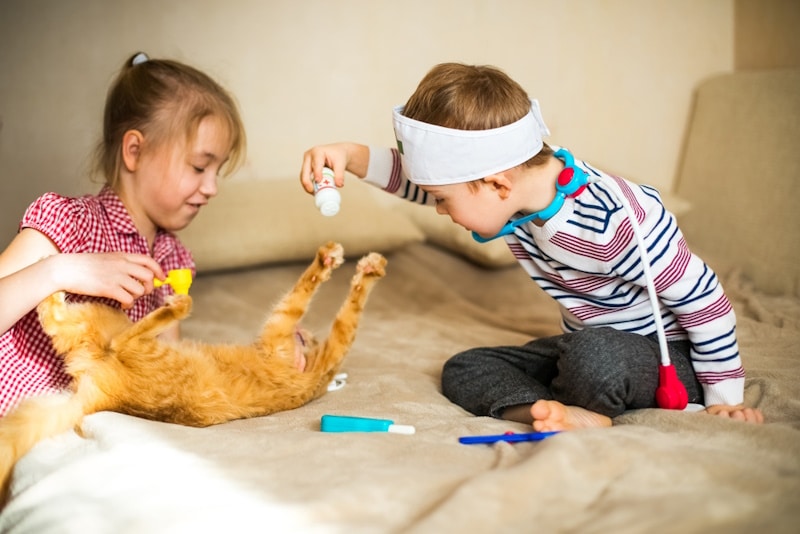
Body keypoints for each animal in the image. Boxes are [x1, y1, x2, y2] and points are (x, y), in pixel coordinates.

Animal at [0, 243, 388, 502]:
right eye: (306, 337)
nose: (305, 335)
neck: (314, 375)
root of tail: (103, 398)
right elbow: (339, 310)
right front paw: (355, 265)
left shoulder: (296, 331)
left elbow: (339, 308)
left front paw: (355, 268)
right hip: (101, 320)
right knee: (54, 317)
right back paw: (52, 271)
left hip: (126, 337)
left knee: (113, 336)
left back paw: (177, 305)